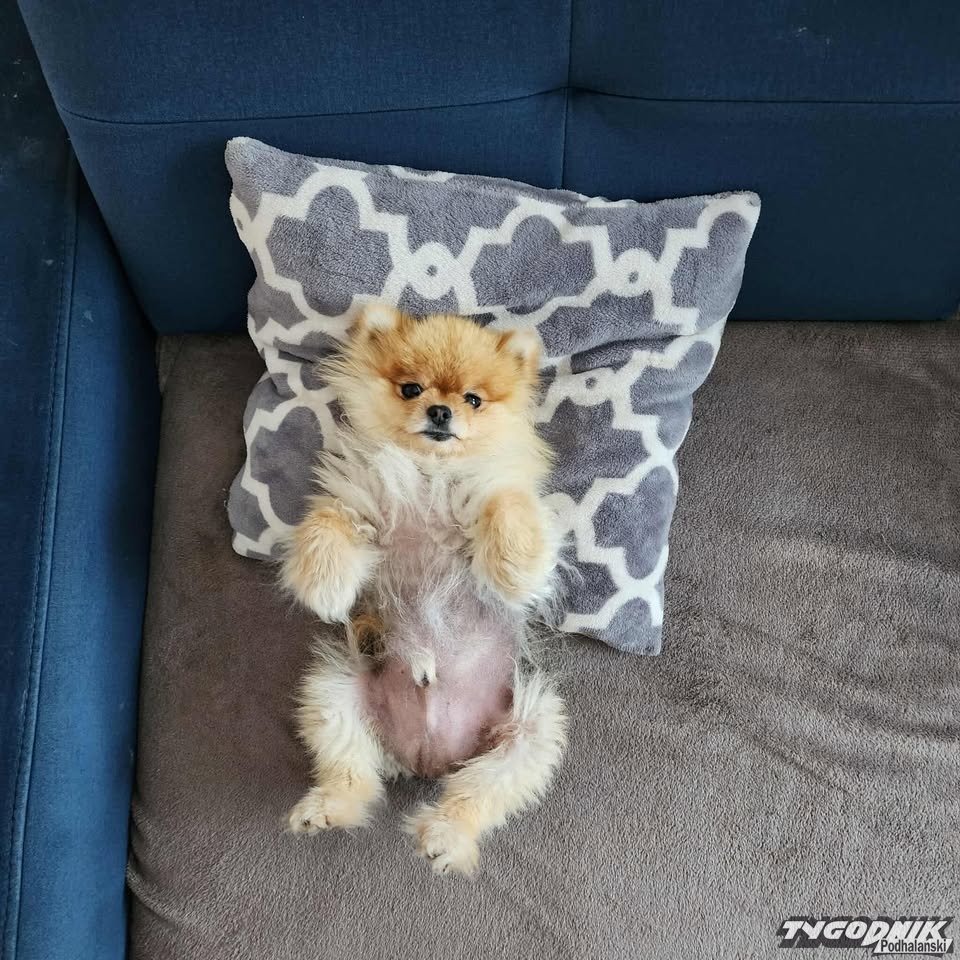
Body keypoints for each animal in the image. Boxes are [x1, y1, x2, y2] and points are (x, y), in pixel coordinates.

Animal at [280, 304, 566, 876]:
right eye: (411, 389)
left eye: (473, 399)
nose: (440, 411)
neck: (430, 472)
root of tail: (427, 759)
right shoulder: (358, 506)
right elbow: (326, 523)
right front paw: (327, 586)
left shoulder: (501, 498)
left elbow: (507, 503)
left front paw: (509, 565)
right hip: (332, 692)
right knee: (353, 773)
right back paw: (328, 809)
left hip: (532, 730)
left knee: (475, 795)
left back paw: (444, 837)